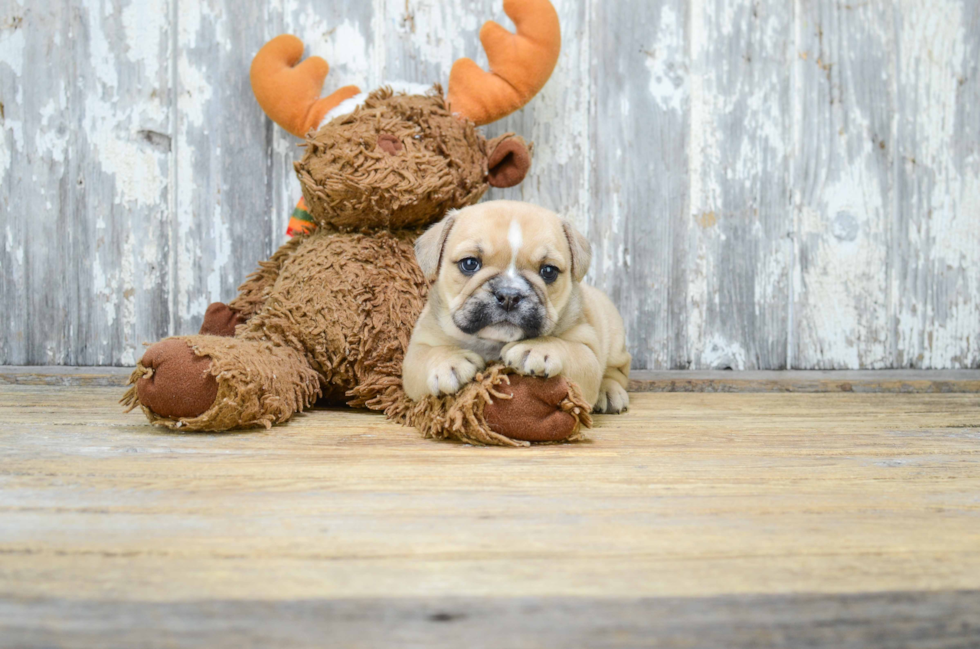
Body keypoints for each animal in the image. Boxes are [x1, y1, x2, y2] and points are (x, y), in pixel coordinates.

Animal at [402, 200, 632, 412]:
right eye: (469, 264)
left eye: (548, 271)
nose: (509, 295)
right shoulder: (417, 349)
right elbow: (427, 354)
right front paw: (448, 361)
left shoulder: (587, 352)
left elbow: (574, 351)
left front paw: (538, 348)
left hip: (614, 338)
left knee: (617, 370)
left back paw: (609, 391)